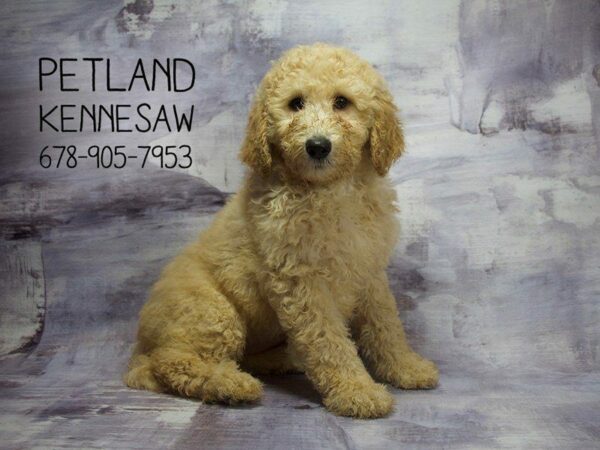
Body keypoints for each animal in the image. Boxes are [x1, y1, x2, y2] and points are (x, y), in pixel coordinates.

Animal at [125, 43, 439, 418]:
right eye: (295, 103)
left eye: (342, 102)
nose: (317, 146)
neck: (330, 190)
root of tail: (139, 349)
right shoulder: (301, 282)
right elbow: (329, 341)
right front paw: (357, 391)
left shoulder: (369, 270)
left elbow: (386, 325)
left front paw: (405, 367)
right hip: (212, 311)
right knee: (173, 361)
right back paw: (231, 385)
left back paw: (282, 360)